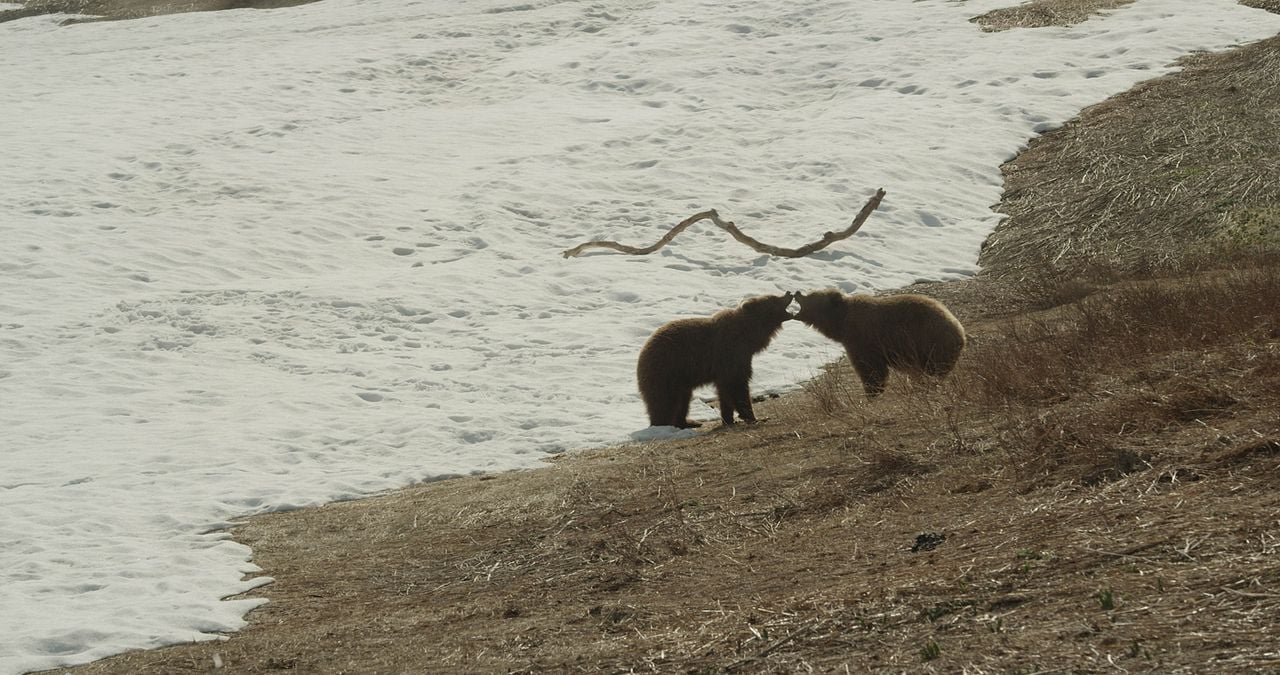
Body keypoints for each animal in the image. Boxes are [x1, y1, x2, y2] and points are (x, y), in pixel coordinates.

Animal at [793, 289, 962, 397]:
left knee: (932, 370)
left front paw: (872, 392)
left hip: (929, 343)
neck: (842, 323)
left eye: (811, 295)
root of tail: (959, 330)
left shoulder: (863, 339)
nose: (797, 293)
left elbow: (870, 368)